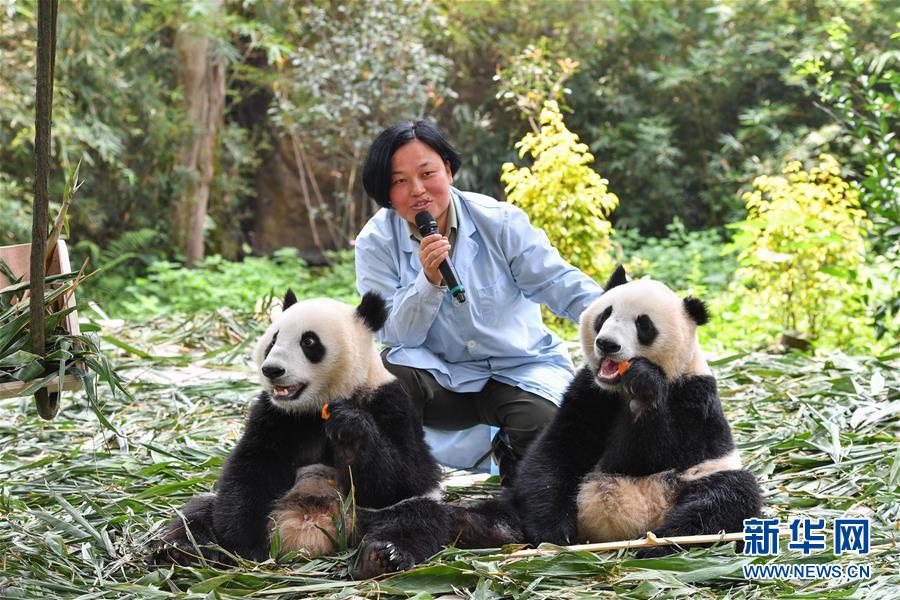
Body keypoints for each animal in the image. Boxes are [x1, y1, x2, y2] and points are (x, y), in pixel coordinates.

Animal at [155, 292, 442, 564]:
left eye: (309, 342)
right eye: (273, 340)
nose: (272, 370)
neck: (316, 406)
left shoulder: (391, 402)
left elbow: (405, 477)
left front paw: (348, 428)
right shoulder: (274, 414)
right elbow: (252, 467)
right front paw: (246, 544)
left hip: (372, 515)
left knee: (417, 518)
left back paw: (384, 557)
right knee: (198, 511)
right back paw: (181, 551)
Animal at [512, 268, 760, 556]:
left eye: (644, 325)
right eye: (605, 314)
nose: (607, 344)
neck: (618, 388)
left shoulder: (695, 396)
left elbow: (656, 452)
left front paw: (644, 384)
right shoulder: (589, 391)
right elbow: (558, 450)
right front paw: (553, 533)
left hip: (699, 480)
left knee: (726, 498)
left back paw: (657, 543)